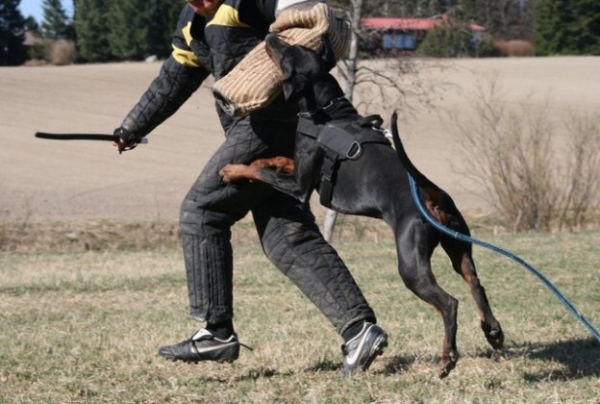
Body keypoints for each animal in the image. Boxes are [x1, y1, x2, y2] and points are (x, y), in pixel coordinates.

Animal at [218, 35, 504, 378]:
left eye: (289, 54)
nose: (271, 37)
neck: (327, 111)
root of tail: (430, 195)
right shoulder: (301, 168)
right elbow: (276, 160)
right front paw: (259, 160)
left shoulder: (300, 188)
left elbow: (260, 173)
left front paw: (232, 169)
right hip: (459, 247)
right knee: (477, 285)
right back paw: (493, 332)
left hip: (411, 264)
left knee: (449, 303)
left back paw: (447, 359)